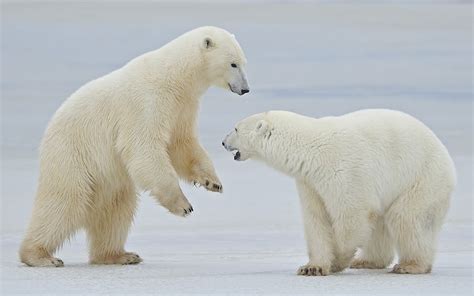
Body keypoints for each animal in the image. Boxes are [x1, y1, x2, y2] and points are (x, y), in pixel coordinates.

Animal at [20, 26, 250, 268]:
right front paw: (183, 205)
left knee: (116, 210)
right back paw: (40, 255)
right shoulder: (147, 103)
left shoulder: (182, 107)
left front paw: (212, 182)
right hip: (72, 155)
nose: (245, 89)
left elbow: (182, 144)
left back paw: (119, 255)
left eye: (243, 62)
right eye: (233, 64)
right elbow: (143, 147)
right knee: (65, 202)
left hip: (108, 179)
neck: (175, 77)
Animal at [224, 108, 458, 276]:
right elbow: (316, 220)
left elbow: (351, 216)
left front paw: (338, 260)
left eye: (235, 129)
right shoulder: (310, 182)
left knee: (407, 219)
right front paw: (312, 267)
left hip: (422, 179)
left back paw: (410, 265)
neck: (311, 149)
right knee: (381, 224)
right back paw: (366, 261)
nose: (223, 142)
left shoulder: (345, 171)